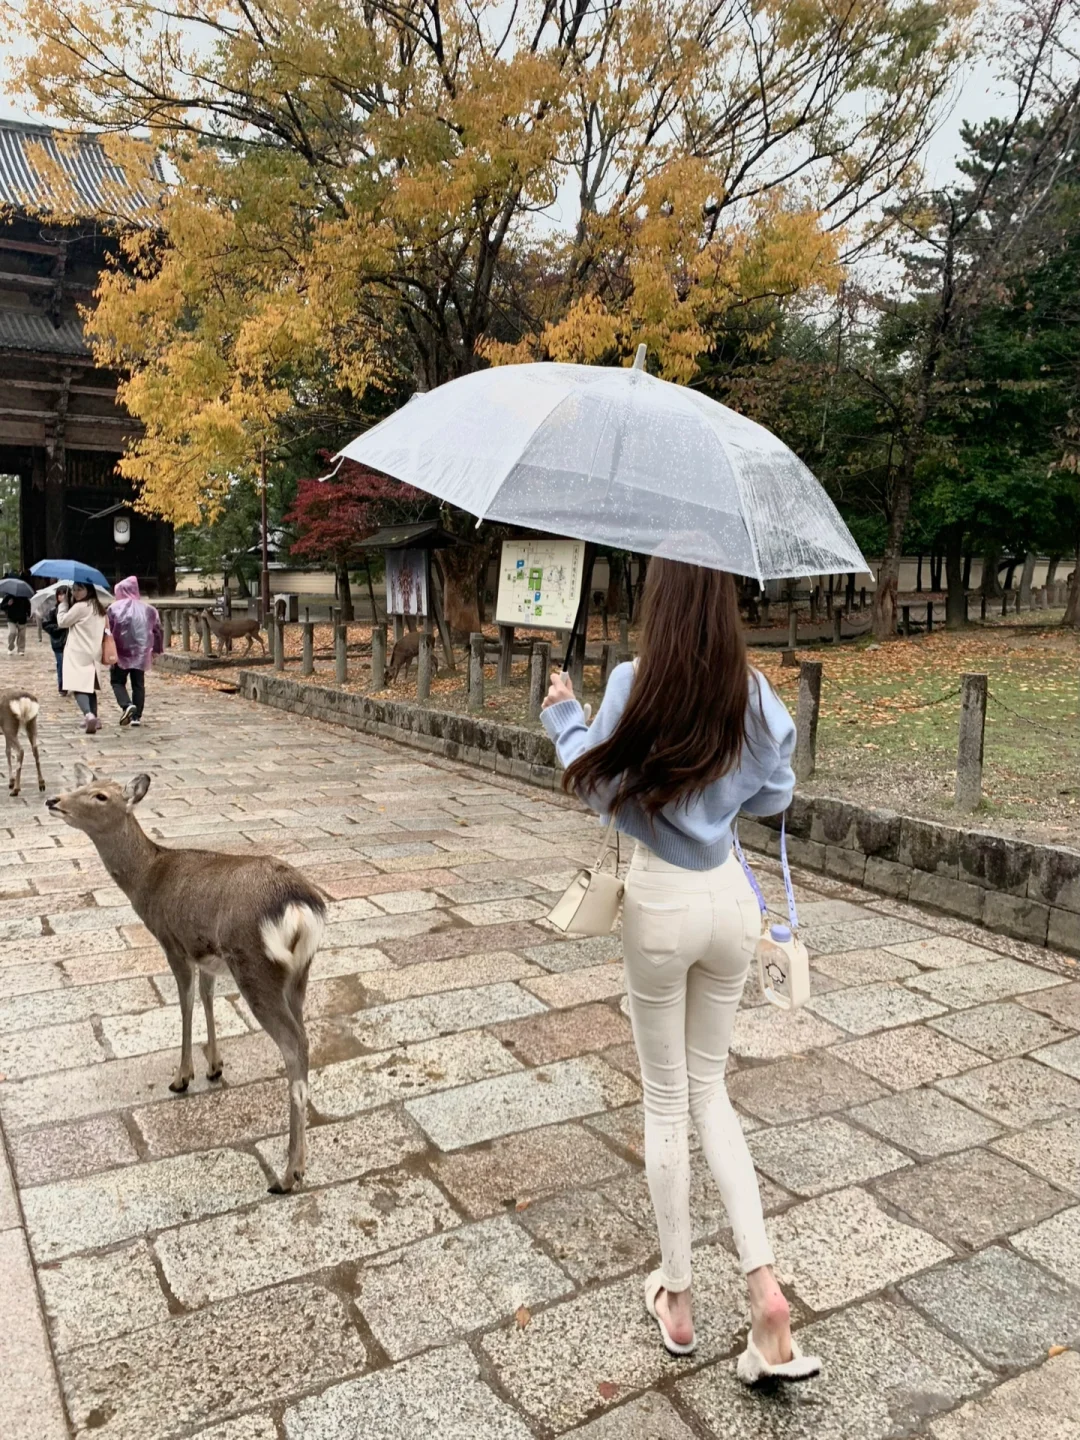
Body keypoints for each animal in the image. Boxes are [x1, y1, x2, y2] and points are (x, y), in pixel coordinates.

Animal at [46, 766, 324, 1192]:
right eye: (84, 786)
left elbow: (186, 1003)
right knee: (305, 1038)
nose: (53, 801)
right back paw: (299, 1163)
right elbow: (208, 999)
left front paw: (182, 1077)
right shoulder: (206, 956)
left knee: (294, 1045)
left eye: (100, 796)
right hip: (297, 975)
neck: (147, 880)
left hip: (255, 967)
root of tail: (300, 907)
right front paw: (214, 1066)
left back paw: (288, 1173)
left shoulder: (172, 941)